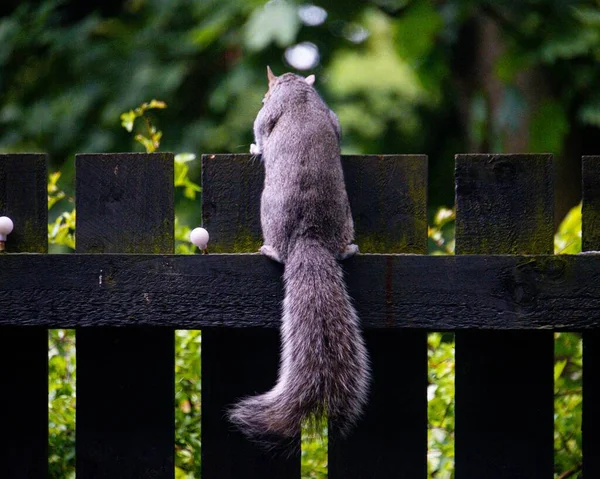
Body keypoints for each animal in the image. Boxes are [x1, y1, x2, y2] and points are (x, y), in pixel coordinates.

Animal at [230, 66, 370, 438]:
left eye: (263, 97)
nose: (264, 96)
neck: (298, 92)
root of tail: (309, 237)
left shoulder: (267, 116)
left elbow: (260, 130)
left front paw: (254, 145)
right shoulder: (332, 118)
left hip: (269, 216)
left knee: (277, 250)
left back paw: (268, 250)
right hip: (345, 221)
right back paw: (349, 249)